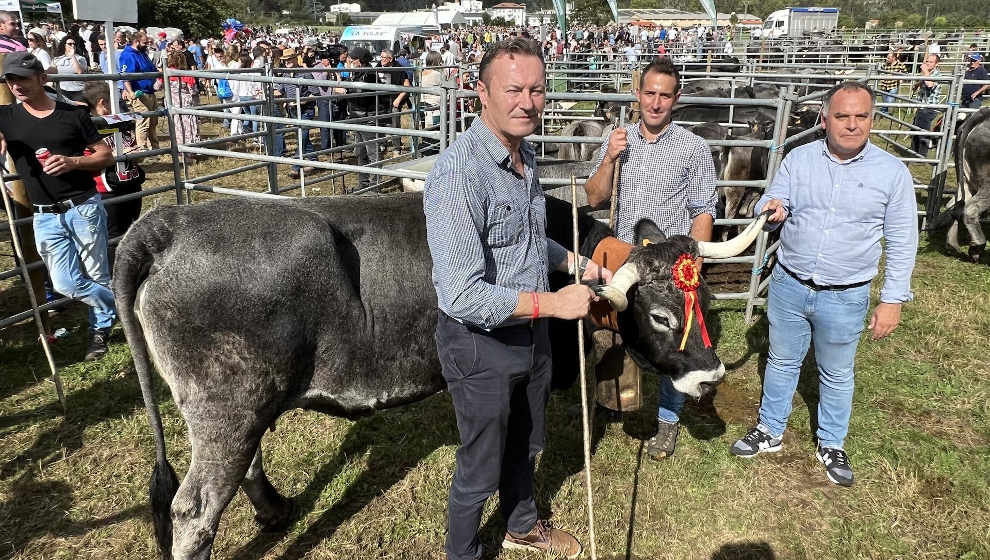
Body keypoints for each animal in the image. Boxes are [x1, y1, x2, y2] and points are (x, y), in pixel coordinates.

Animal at [116, 191, 768, 556]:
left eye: (705, 301)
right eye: (660, 315)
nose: (711, 377)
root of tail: (165, 224)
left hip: (238, 406)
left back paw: (275, 509)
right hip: (225, 406)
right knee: (193, 510)